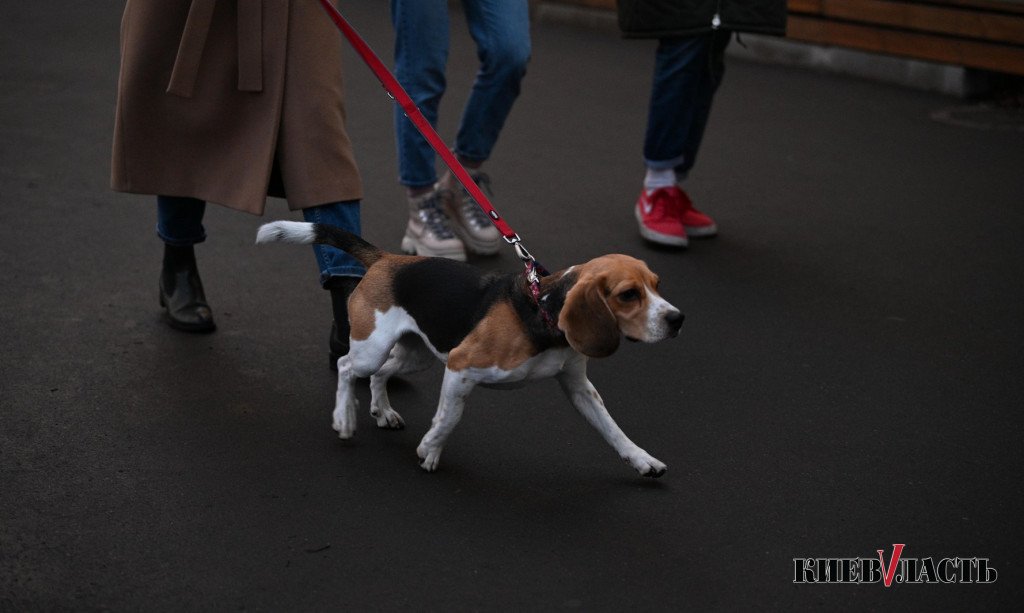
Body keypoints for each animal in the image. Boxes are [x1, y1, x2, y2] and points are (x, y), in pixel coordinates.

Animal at [260, 222, 684, 478]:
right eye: (628, 295)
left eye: (657, 284)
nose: (678, 319)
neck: (542, 309)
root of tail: (386, 260)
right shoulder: (461, 366)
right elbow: (449, 418)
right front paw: (430, 449)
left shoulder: (578, 386)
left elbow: (613, 429)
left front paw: (642, 460)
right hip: (375, 347)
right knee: (349, 366)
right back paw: (344, 418)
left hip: (417, 354)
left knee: (382, 374)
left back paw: (383, 411)